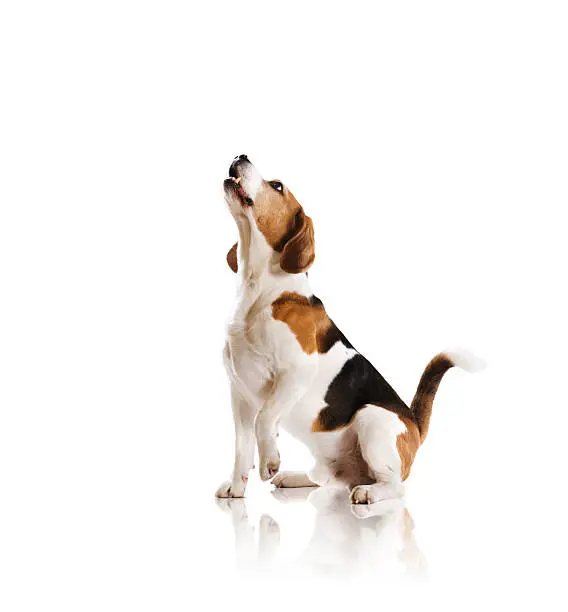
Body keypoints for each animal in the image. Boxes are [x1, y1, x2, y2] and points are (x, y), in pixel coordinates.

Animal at [215, 155, 482, 504]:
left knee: (396, 486)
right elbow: (241, 448)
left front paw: (269, 461)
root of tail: (413, 424)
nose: (240, 156)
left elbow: (265, 419)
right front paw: (237, 488)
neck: (259, 291)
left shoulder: (296, 371)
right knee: (322, 478)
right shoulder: (239, 392)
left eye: (277, 186)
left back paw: (368, 493)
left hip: (371, 419)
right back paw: (296, 477)